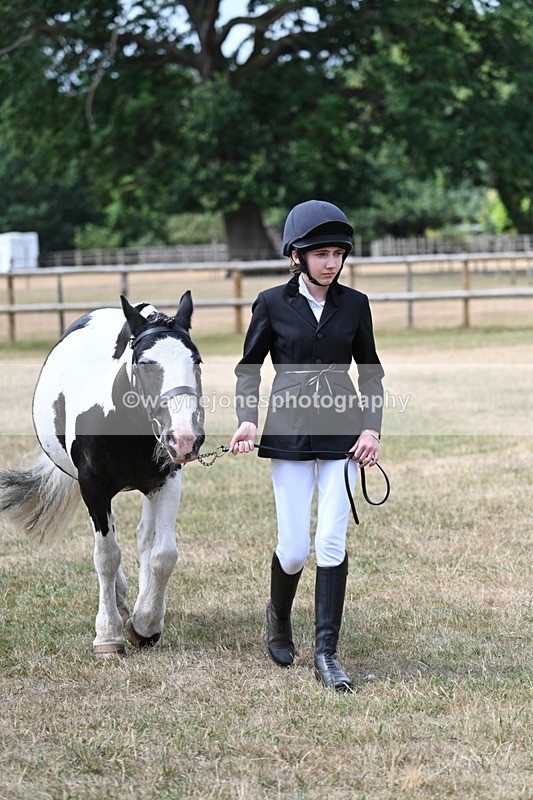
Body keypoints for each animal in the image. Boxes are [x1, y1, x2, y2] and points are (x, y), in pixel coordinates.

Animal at [0, 292, 205, 656]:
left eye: (196, 361)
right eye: (145, 363)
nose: (184, 438)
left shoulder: (166, 481)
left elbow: (162, 554)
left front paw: (145, 624)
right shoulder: (93, 488)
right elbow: (106, 557)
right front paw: (108, 635)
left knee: (144, 539)